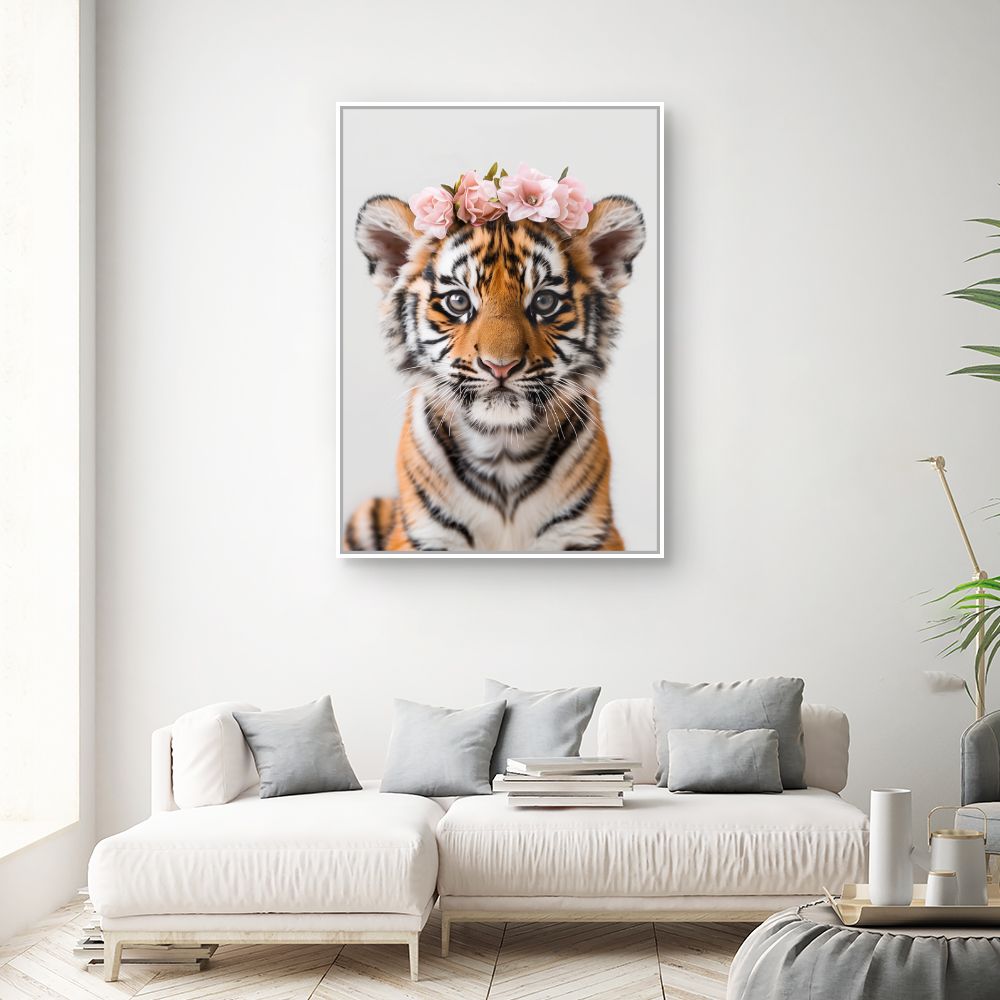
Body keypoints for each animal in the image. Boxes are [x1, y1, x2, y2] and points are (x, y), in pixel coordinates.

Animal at [343, 192, 646, 553]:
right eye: (458, 301)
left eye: (544, 302)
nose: (500, 365)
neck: (503, 451)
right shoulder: (423, 537)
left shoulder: (587, 535)